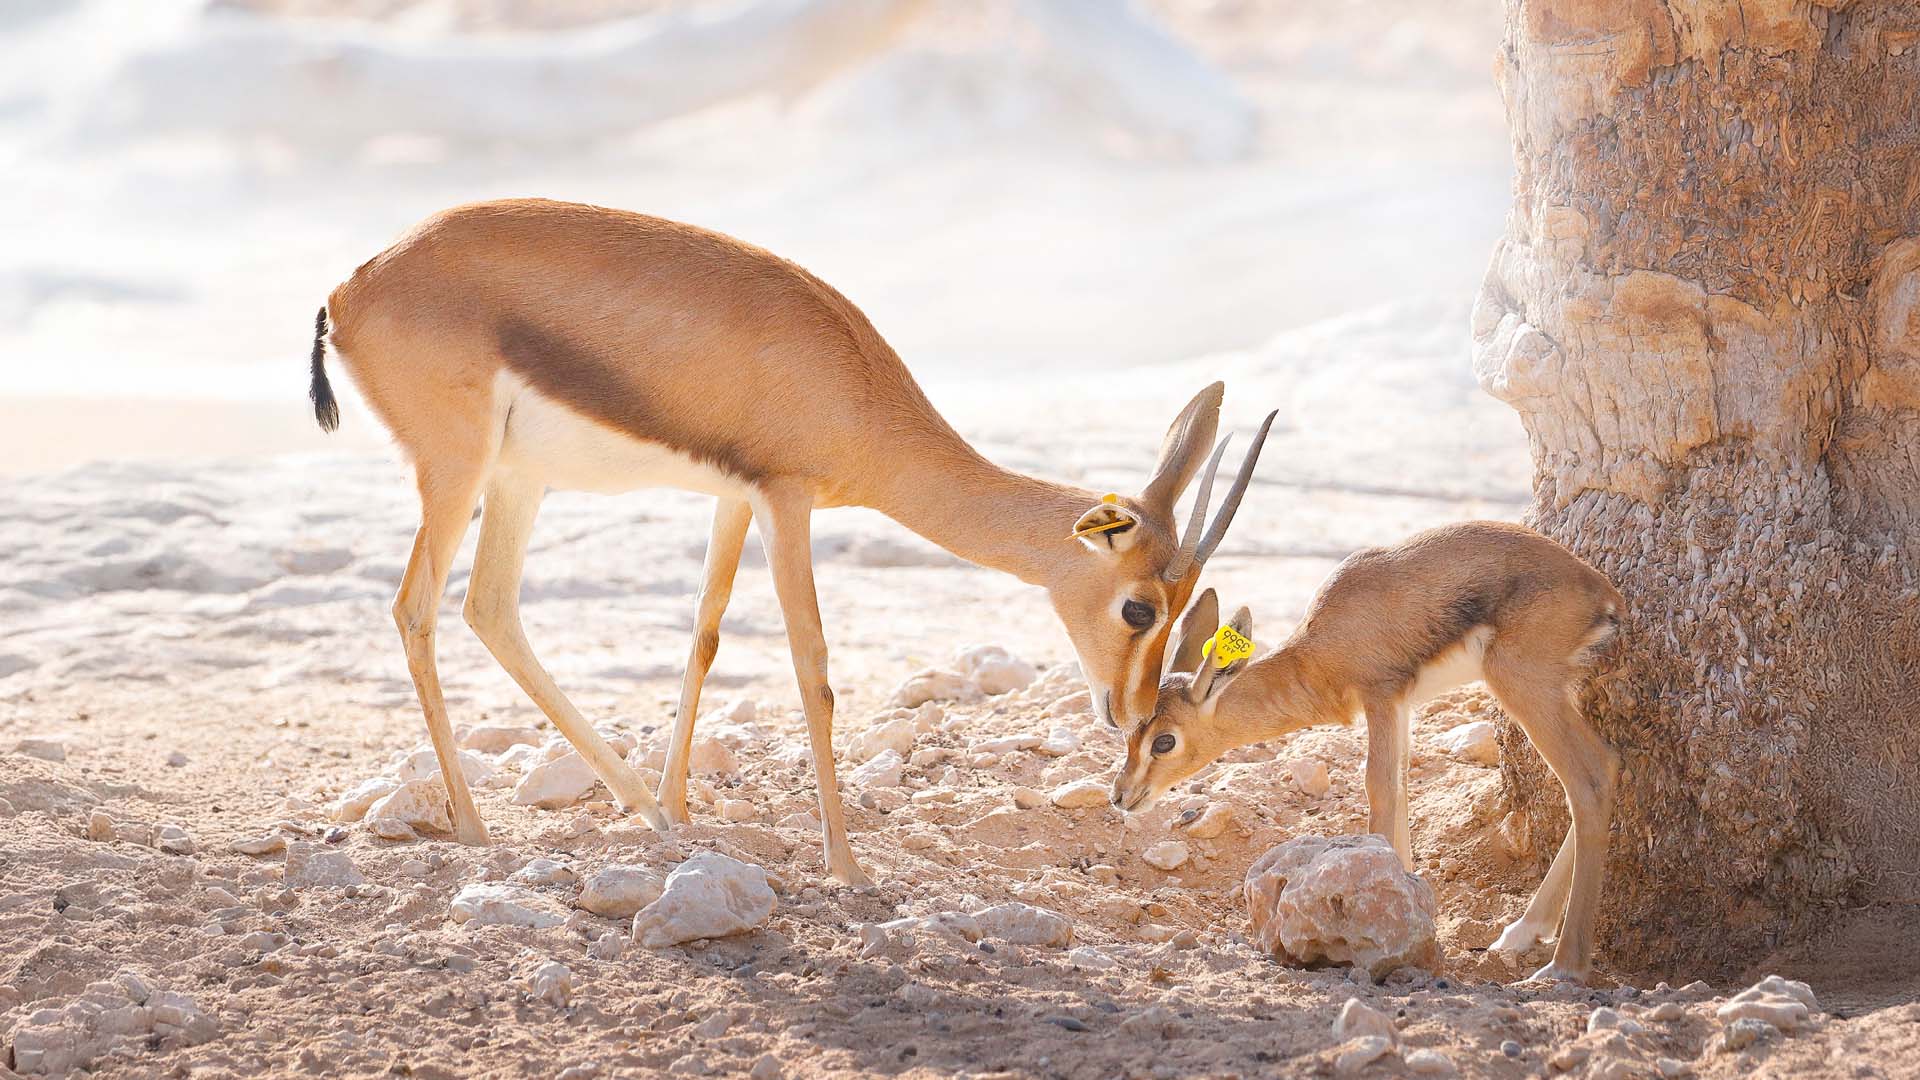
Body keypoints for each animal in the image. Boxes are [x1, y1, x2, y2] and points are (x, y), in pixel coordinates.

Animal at [309, 198, 1273, 885]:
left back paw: (641, 811)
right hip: (458, 469)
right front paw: (846, 867)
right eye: (1139, 607)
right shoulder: (787, 499)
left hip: (516, 480)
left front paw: (683, 809)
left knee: (491, 608)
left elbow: (704, 633)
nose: (1133, 714)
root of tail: (352, 286)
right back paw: (477, 827)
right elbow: (814, 672)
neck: (854, 385)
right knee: (418, 607)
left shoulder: (735, 499)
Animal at [1109, 521, 1623, 982]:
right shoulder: (1400, 706)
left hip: (1520, 684)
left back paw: (1564, 966)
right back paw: (1523, 932)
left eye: (1164, 740)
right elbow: (1401, 789)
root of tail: (1603, 593)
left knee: (1592, 778)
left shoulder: (1380, 695)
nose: (1121, 795)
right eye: (1130, 732)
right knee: (1610, 767)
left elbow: (1379, 788)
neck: (1322, 649)